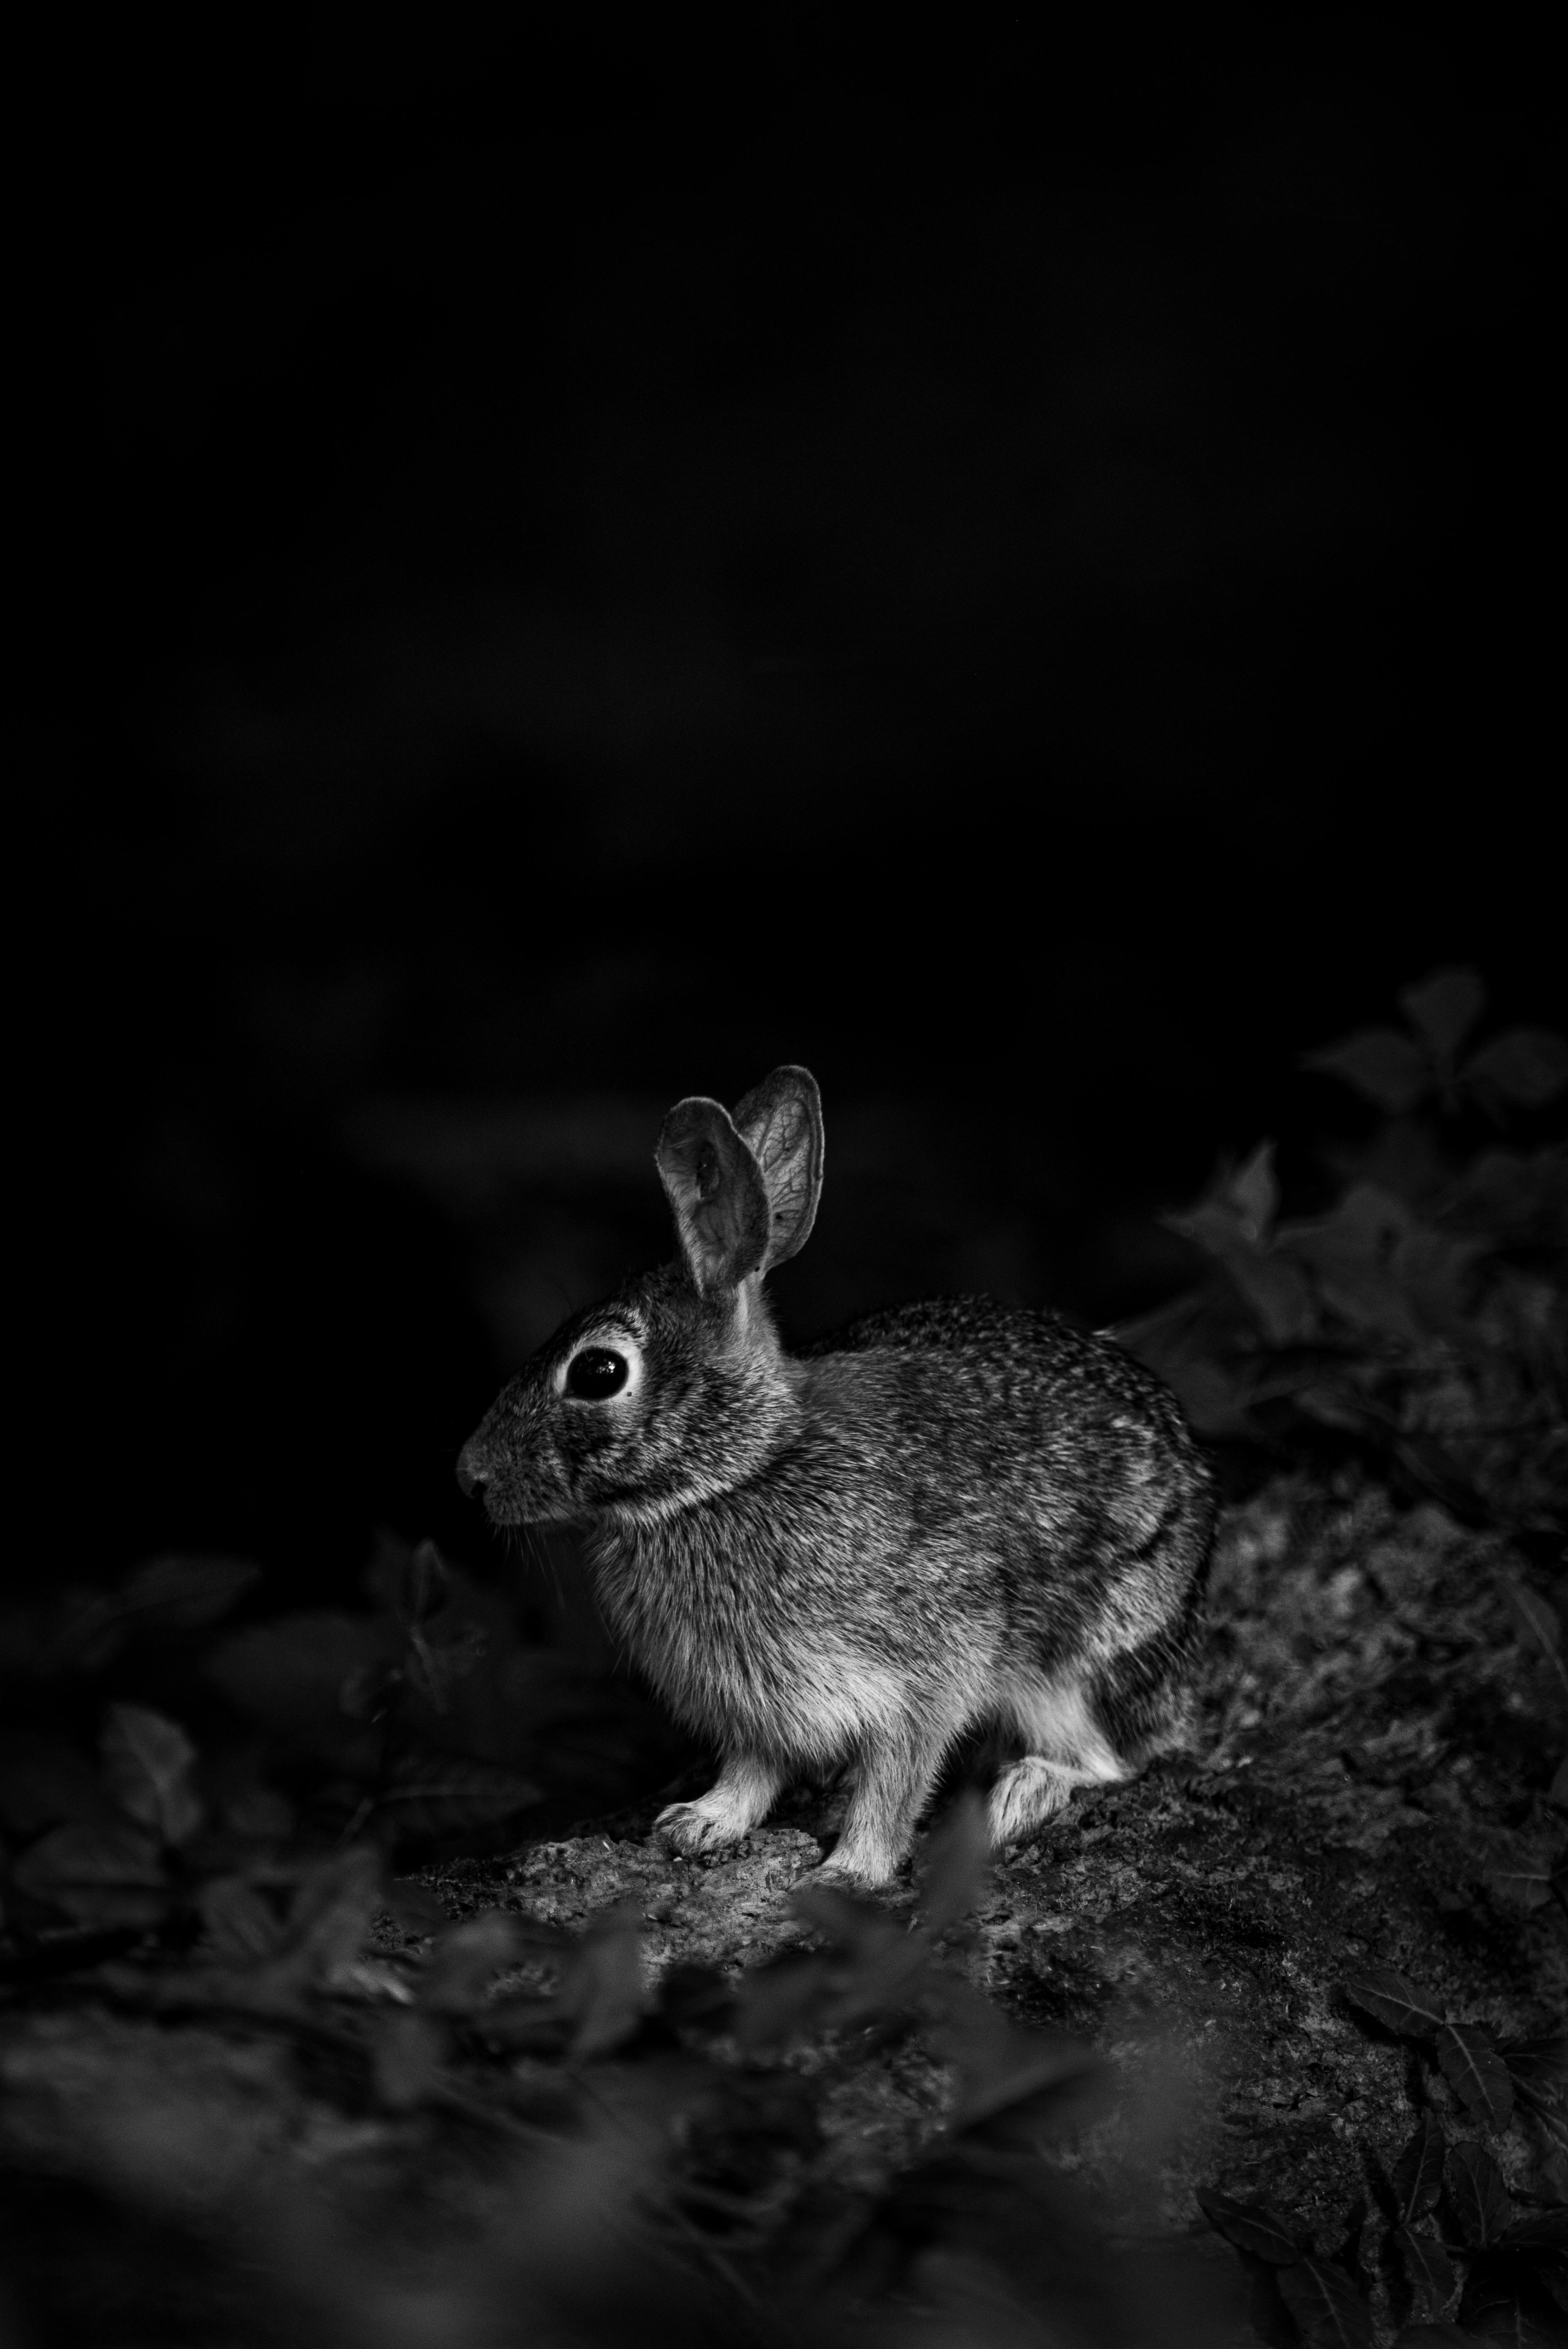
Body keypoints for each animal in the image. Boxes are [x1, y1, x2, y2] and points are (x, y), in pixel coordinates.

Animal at [456, 1067, 1214, 1886]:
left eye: (598, 1372)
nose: (471, 1476)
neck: (737, 1474)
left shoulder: (927, 1671)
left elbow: (895, 1778)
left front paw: (847, 1874)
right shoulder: (755, 1708)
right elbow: (752, 1769)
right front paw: (700, 1824)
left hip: (1076, 1662)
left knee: (1106, 1761)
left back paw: (1015, 1797)